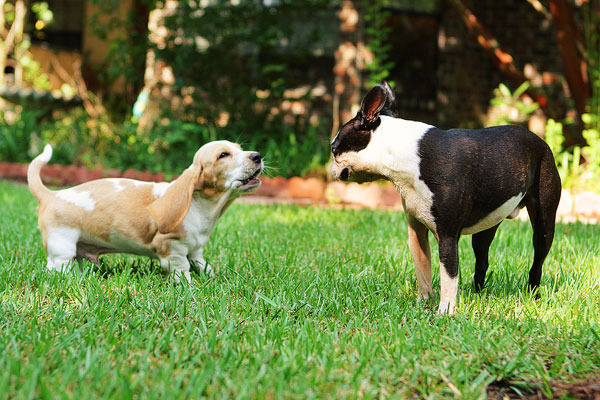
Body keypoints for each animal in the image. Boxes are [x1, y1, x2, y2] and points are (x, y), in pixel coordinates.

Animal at [27, 140, 262, 282]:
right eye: (223, 155)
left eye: (239, 148)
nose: (258, 156)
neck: (203, 205)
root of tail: (51, 195)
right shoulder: (173, 249)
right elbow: (183, 269)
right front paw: (189, 287)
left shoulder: (196, 249)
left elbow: (202, 265)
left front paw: (212, 277)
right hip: (61, 245)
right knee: (56, 267)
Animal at [332, 80, 564, 312]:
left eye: (334, 149)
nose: (331, 169)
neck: (402, 155)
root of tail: (541, 141)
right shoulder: (417, 231)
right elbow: (423, 270)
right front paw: (423, 303)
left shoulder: (447, 235)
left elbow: (449, 275)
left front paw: (445, 310)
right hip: (488, 224)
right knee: (482, 260)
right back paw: (477, 294)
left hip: (543, 223)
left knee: (537, 262)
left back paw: (533, 295)